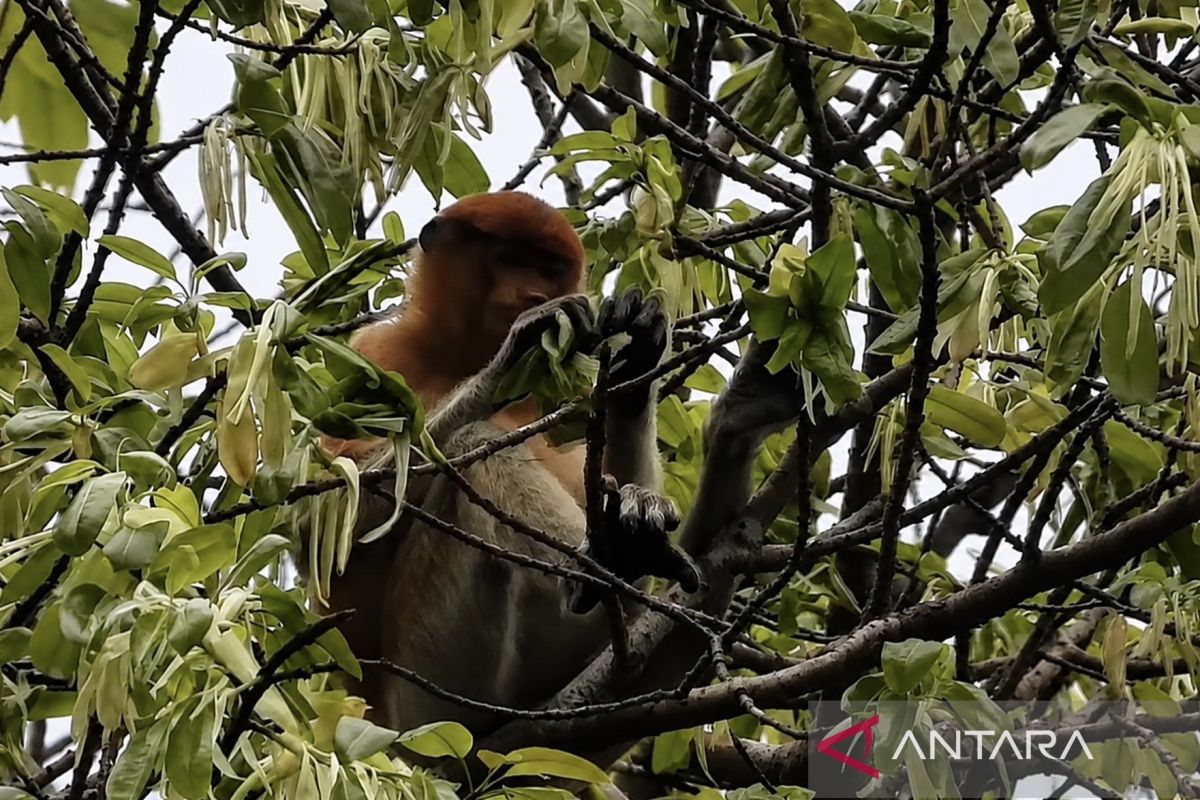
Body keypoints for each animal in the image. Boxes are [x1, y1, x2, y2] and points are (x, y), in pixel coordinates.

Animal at [313, 191, 700, 739]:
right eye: (512, 259)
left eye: (549, 267)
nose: (534, 293)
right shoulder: (369, 351)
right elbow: (325, 522)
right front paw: (517, 350)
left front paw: (641, 350)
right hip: (431, 682)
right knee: (475, 441)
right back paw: (605, 562)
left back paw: (632, 550)